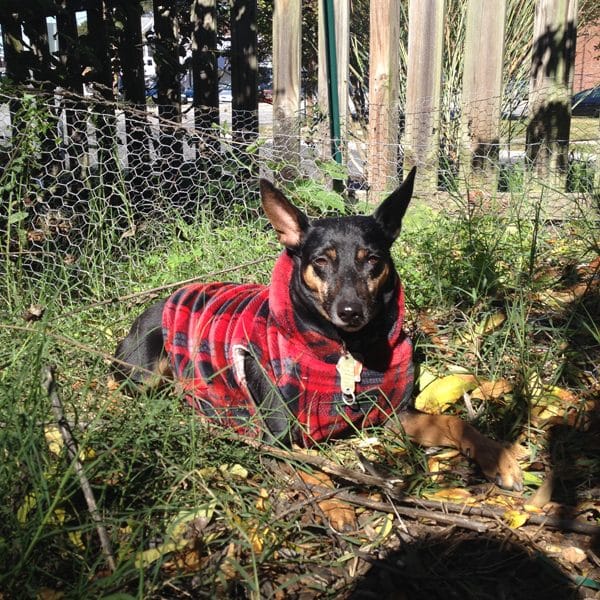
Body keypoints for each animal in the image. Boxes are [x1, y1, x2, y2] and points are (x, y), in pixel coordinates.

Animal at [115, 168, 524, 492]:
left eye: (373, 260)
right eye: (321, 261)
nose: (350, 311)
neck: (348, 349)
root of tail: (157, 304)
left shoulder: (395, 416)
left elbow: (456, 422)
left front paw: (498, 457)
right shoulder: (277, 437)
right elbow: (312, 468)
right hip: (144, 371)